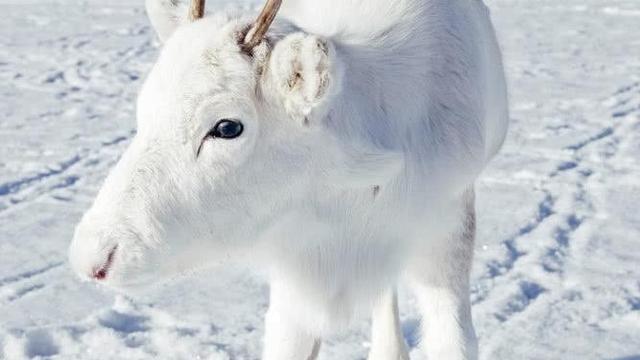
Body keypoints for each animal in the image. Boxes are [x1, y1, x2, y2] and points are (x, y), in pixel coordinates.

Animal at [70, 0, 508, 358]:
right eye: (144, 108)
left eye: (227, 127)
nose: (93, 258)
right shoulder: (294, 266)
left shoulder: (446, 224)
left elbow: (454, 341)